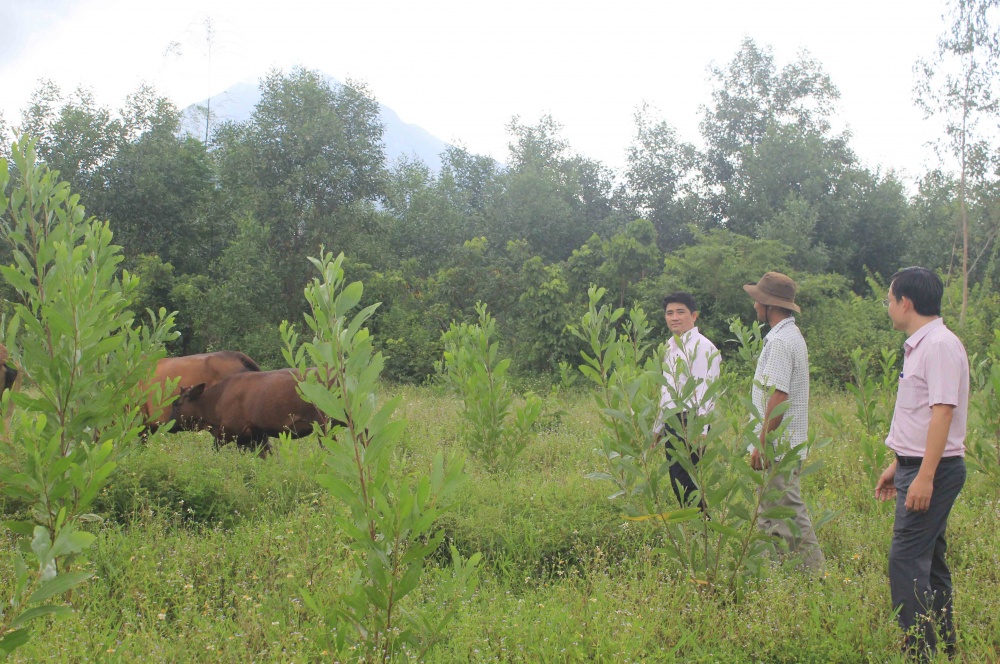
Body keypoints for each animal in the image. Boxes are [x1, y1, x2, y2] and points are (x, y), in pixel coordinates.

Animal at [170, 368, 328, 456]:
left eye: (177, 404)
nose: (169, 425)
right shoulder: (257, 435)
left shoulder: (227, 432)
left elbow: (214, 450)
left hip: (324, 426)